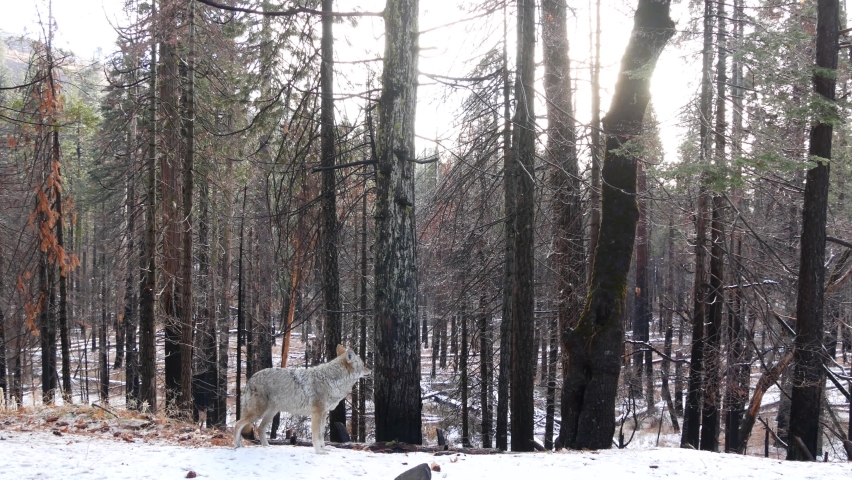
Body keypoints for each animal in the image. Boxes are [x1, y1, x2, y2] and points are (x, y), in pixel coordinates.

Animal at [233, 344, 370, 453]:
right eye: (363, 365)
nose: (370, 370)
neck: (332, 380)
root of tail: (251, 379)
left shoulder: (324, 414)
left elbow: (321, 435)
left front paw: (324, 449)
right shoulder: (316, 413)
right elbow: (316, 436)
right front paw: (319, 452)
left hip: (270, 413)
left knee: (260, 428)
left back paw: (267, 447)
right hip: (258, 413)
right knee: (238, 424)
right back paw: (237, 446)